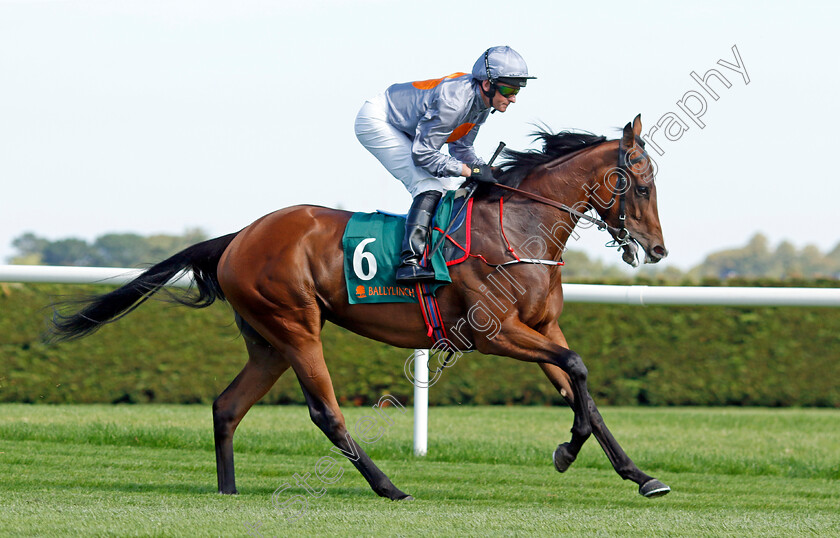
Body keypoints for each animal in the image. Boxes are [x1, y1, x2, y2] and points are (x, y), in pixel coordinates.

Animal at [50, 113, 668, 498]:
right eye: (640, 185)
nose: (658, 249)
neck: (519, 228)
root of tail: (238, 237)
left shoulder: (542, 327)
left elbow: (581, 387)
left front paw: (639, 475)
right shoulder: (495, 334)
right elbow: (578, 371)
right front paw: (568, 450)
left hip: (267, 342)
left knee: (227, 406)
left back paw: (228, 490)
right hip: (296, 326)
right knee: (326, 412)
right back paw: (389, 486)